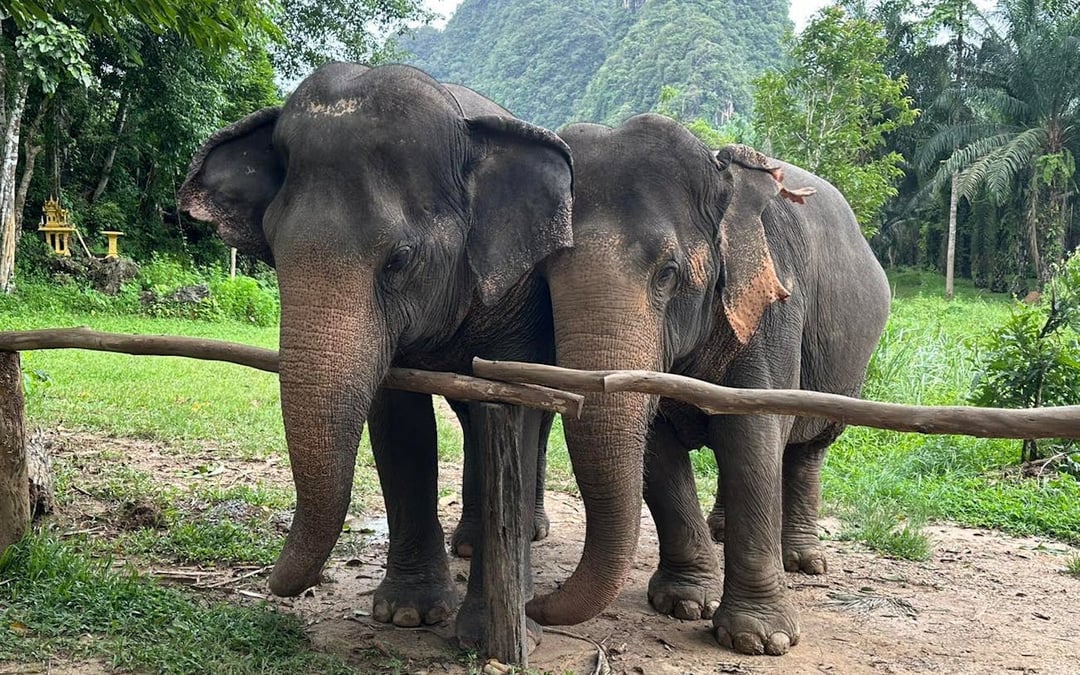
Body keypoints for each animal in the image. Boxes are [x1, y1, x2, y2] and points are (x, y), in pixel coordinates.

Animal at [177, 62, 573, 646]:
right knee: (473, 421)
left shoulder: (516, 291)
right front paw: (407, 614)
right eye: (272, 247)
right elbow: (400, 423)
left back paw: (525, 548)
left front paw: (485, 635)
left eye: (400, 259)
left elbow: (517, 410)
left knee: (527, 422)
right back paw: (469, 543)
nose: (276, 585)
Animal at [526, 114, 890, 656]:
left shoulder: (774, 307)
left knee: (808, 448)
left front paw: (759, 638)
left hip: (848, 369)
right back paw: (722, 531)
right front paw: (682, 603)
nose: (534, 603)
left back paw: (803, 561)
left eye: (668, 274)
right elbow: (657, 449)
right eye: (544, 278)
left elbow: (754, 434)